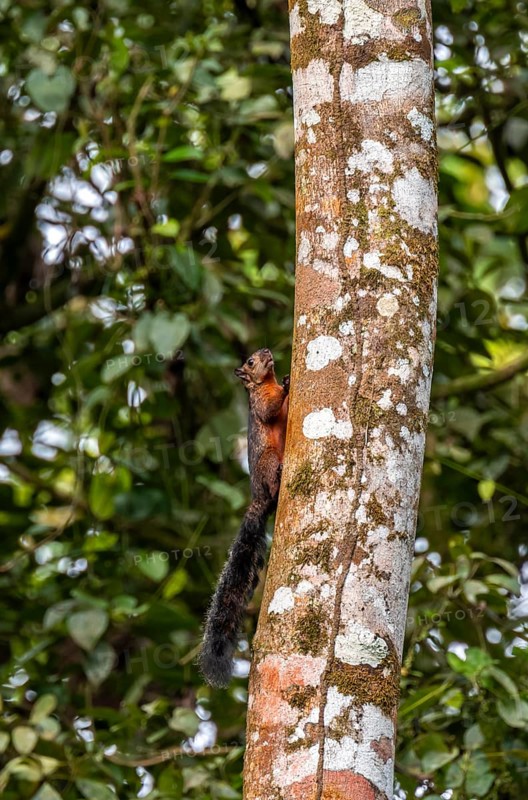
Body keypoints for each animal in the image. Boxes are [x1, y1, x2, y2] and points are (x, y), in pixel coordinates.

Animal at [200, 348, 290, 688]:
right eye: (251, 362)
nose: (266, 351)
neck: (266, 383)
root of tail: (259, 498)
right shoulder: (259, 403)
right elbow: (268, 411)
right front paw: (288, 384)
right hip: (268, 461)